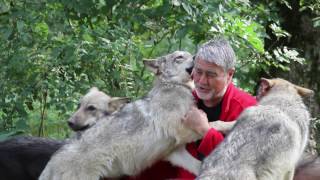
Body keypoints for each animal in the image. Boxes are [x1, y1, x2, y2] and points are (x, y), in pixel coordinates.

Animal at [38, 50, 204, 180]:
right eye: (179, 57)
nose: (197, 55)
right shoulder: (179, 130)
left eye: (190, 53)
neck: (174, 86)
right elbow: (208, 124)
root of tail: (52, 160)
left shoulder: (175, 151)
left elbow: (198, 165)